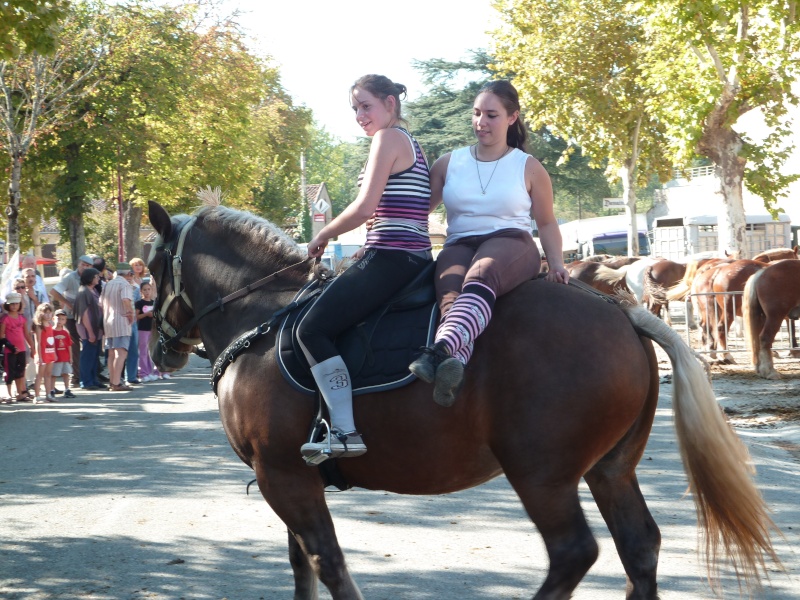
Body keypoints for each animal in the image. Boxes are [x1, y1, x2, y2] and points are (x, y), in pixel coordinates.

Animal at [147, 200, 780, 600]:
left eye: (152, 265)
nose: (160, 346)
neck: (263, 316)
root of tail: (617, 309)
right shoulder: (287, 476)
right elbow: (303, 563)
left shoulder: (282, 475)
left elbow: (326, 561)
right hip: (610, 470)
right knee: (639, 549)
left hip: (541, 473)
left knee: (574, 553)